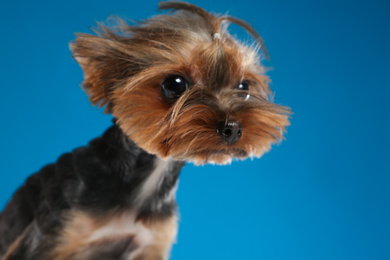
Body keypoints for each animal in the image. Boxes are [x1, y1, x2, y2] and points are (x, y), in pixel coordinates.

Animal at [0, 1, 290, 258]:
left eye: (244, 86)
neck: (146, 183)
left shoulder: (151, 244)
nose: (232, 128)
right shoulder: (50, 236)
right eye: (174, 84)